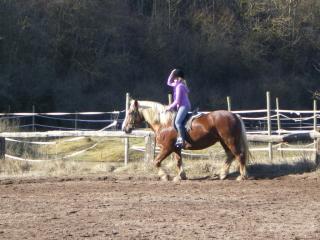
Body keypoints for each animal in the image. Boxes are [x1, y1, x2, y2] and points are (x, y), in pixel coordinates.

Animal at [121, 98, 249, 181]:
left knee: (239, 155)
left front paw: (165, 176)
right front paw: (181, 176)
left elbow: (156, 161)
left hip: (230, 140)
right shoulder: (176, 148)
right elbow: (178, 161)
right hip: (224, 141)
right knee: (230, 155)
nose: (125, 128)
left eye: (131, 112)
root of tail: (234, 115)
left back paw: (242, 176)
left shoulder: (167, 148)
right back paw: (223, 174)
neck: (164, 123)